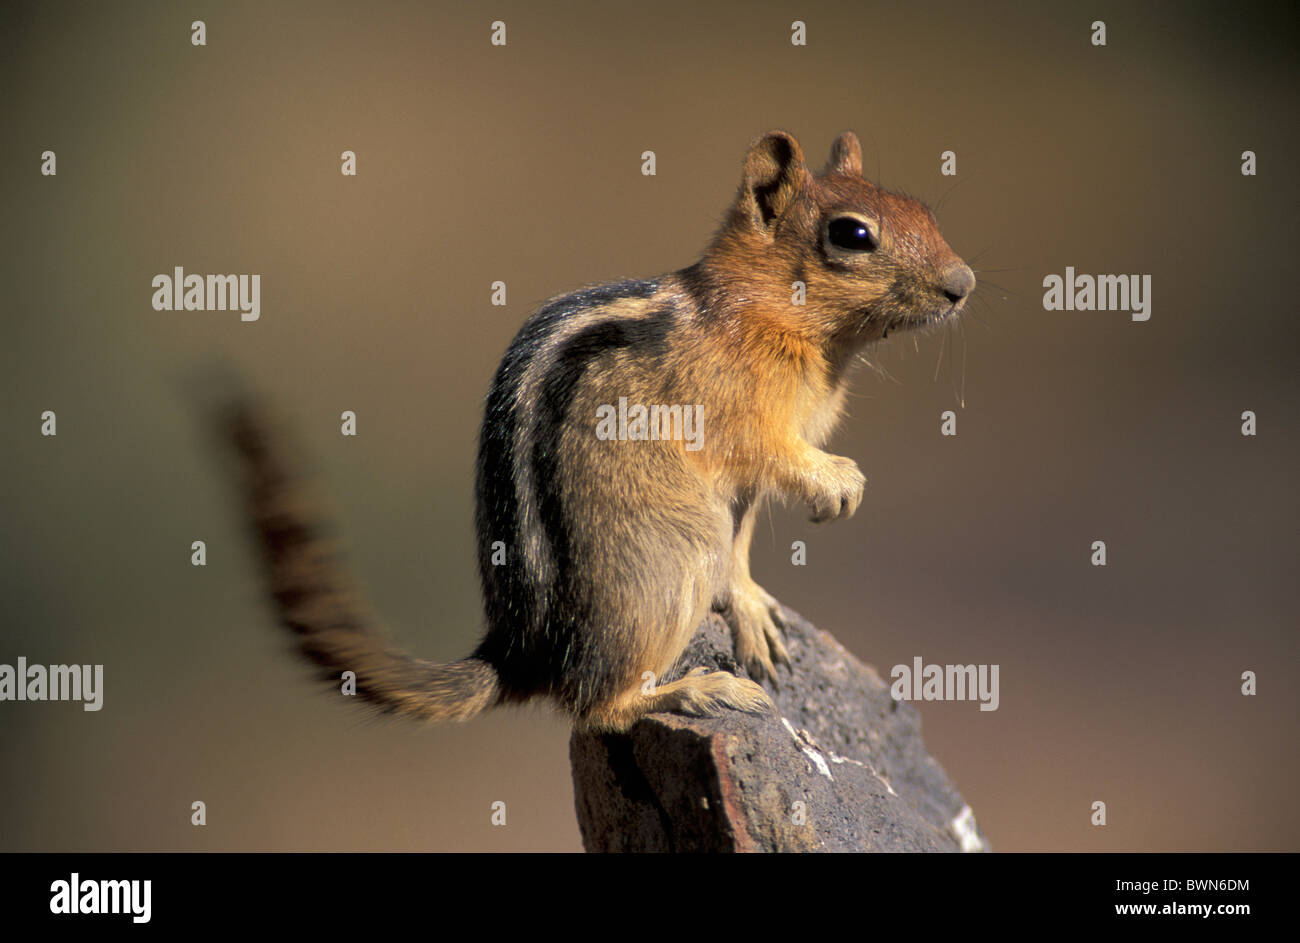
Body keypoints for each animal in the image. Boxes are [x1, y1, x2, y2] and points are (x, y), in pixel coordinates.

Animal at [226, 128, 977, 733]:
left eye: (924, 211)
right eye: (852, 234)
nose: (963, 284)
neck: (773, 315)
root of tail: (521, 652)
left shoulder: (750, 488)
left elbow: (743, 553)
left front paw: (755, 608)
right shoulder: (747, 423)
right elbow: (778, 458)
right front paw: (839, 483)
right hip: (671, 560)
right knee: (596, 707)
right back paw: (698, 690)